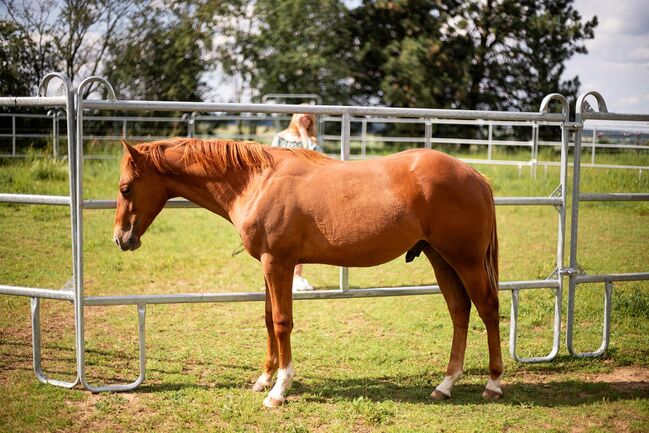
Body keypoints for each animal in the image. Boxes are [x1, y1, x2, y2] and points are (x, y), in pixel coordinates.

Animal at [115, 138, 502, 404]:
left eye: (125, 187)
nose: (121, 238)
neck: (257, 182)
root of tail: (475, 175)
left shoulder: (279, 263)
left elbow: (282, 322)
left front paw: (279, 389)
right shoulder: (267, 265)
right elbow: (268, 319)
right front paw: (264, 379)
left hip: (465, 261)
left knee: (487, 309)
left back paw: (493, 383)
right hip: (441, 259)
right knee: (459, 311)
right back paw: (445, 385)